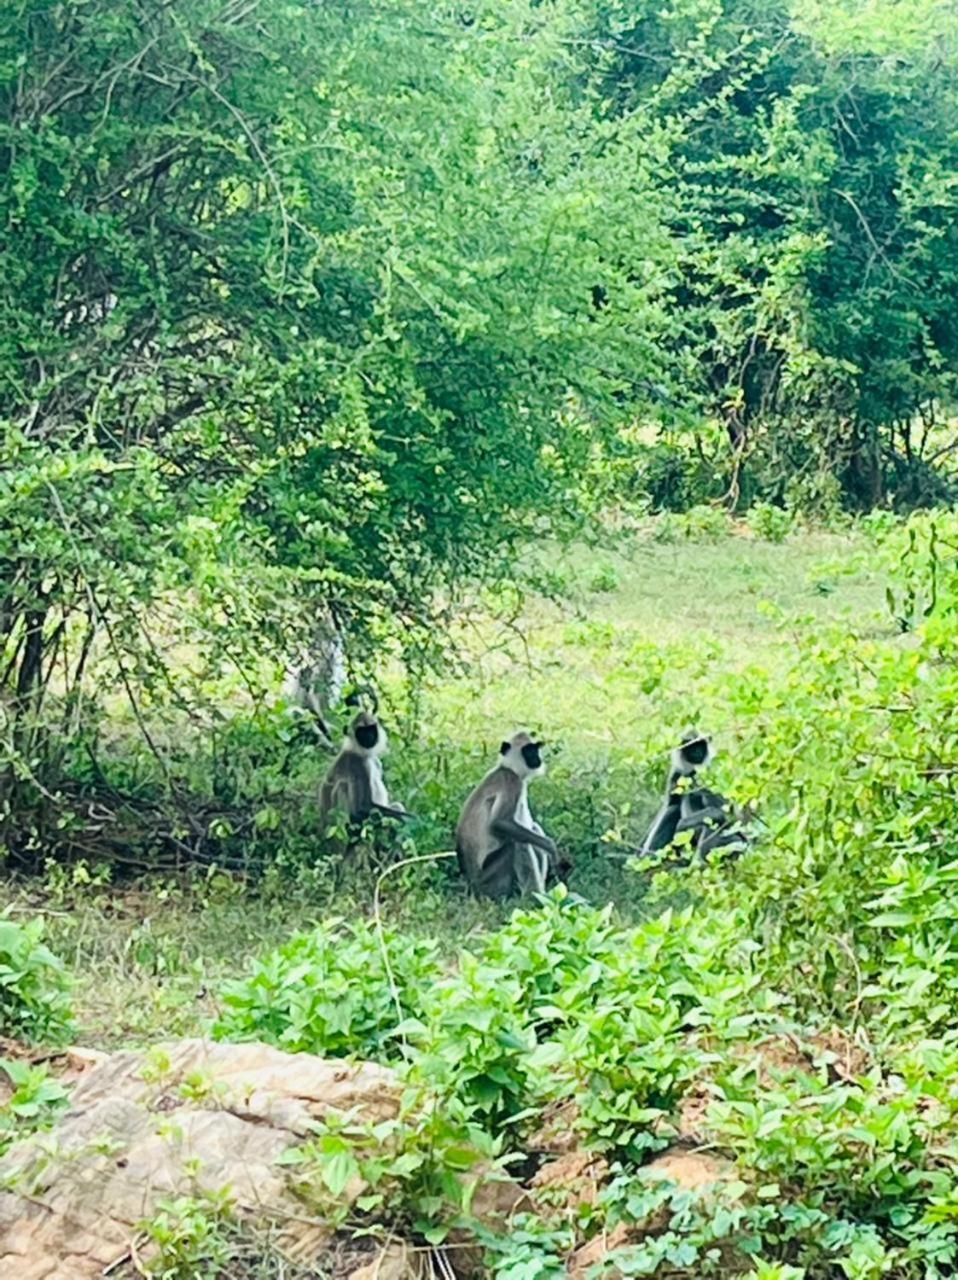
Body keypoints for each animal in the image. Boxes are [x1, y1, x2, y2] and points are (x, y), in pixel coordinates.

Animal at [458, 732, 560, 901]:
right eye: (528, 751)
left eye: (535, 749)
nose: (538, 758)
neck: (507, 768)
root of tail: (470, 885)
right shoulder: (511, 781)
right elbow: (499, 823)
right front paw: (551, 847)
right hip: (488, 880)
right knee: (517, 843)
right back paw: (534, 897)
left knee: (533, 828)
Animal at [640, 732, 742, 860]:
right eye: (690, 746)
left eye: (699, 745)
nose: (696, 751)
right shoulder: (676, 775)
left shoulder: (714, 771)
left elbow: (728, 814)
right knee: (672, 810)